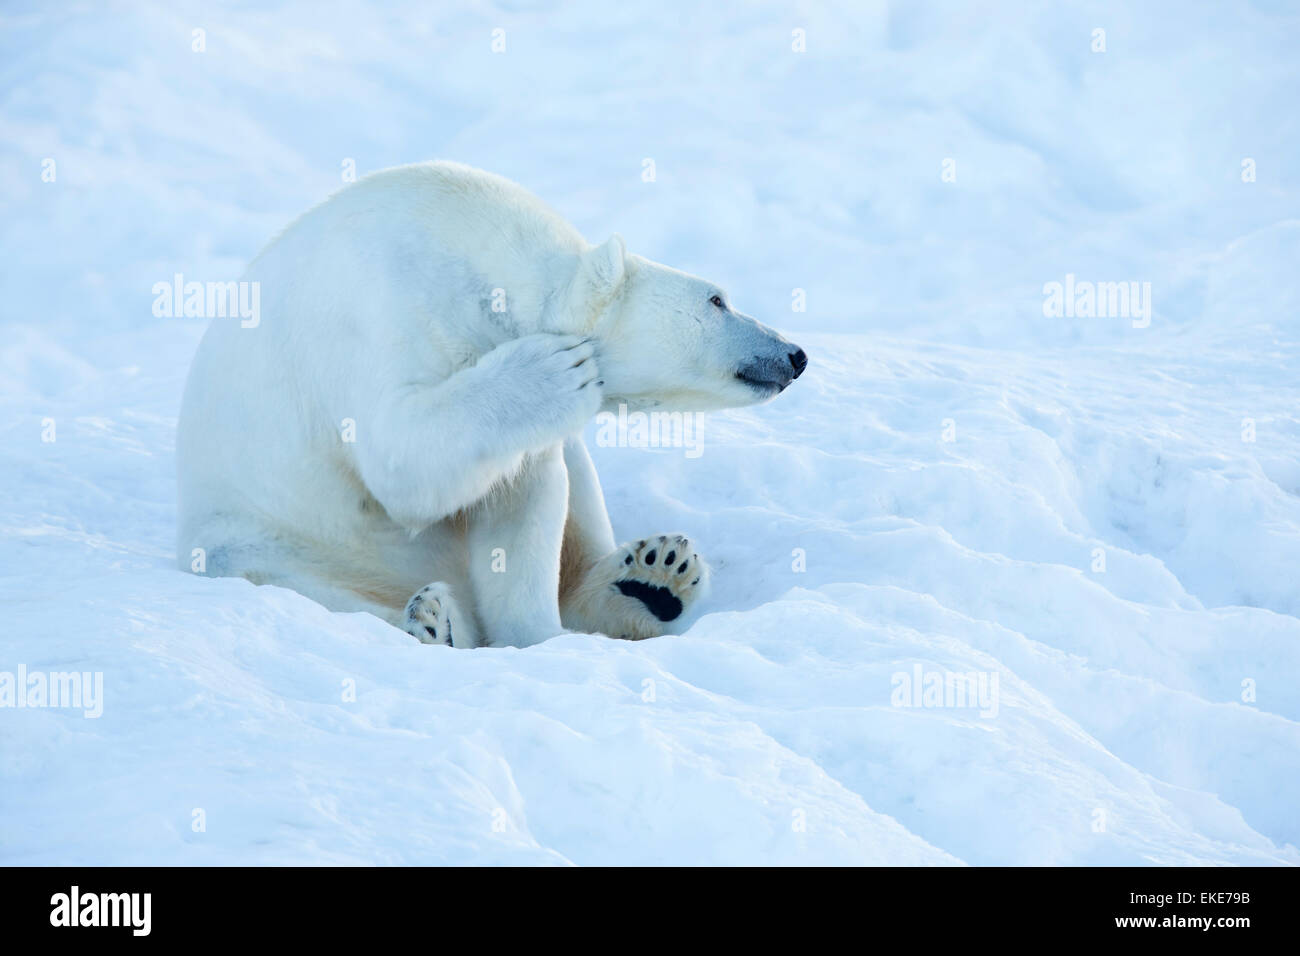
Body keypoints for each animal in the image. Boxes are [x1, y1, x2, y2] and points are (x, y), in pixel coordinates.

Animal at [172, 162, 800, 650]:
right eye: (717, 300)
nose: (794, 355)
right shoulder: (384, 313)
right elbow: (400, 457)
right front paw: (549, 370)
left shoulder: (521, 439)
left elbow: (523, 501)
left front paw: (536, 636)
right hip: (273, 541)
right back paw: (432, 620)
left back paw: (655, 577)